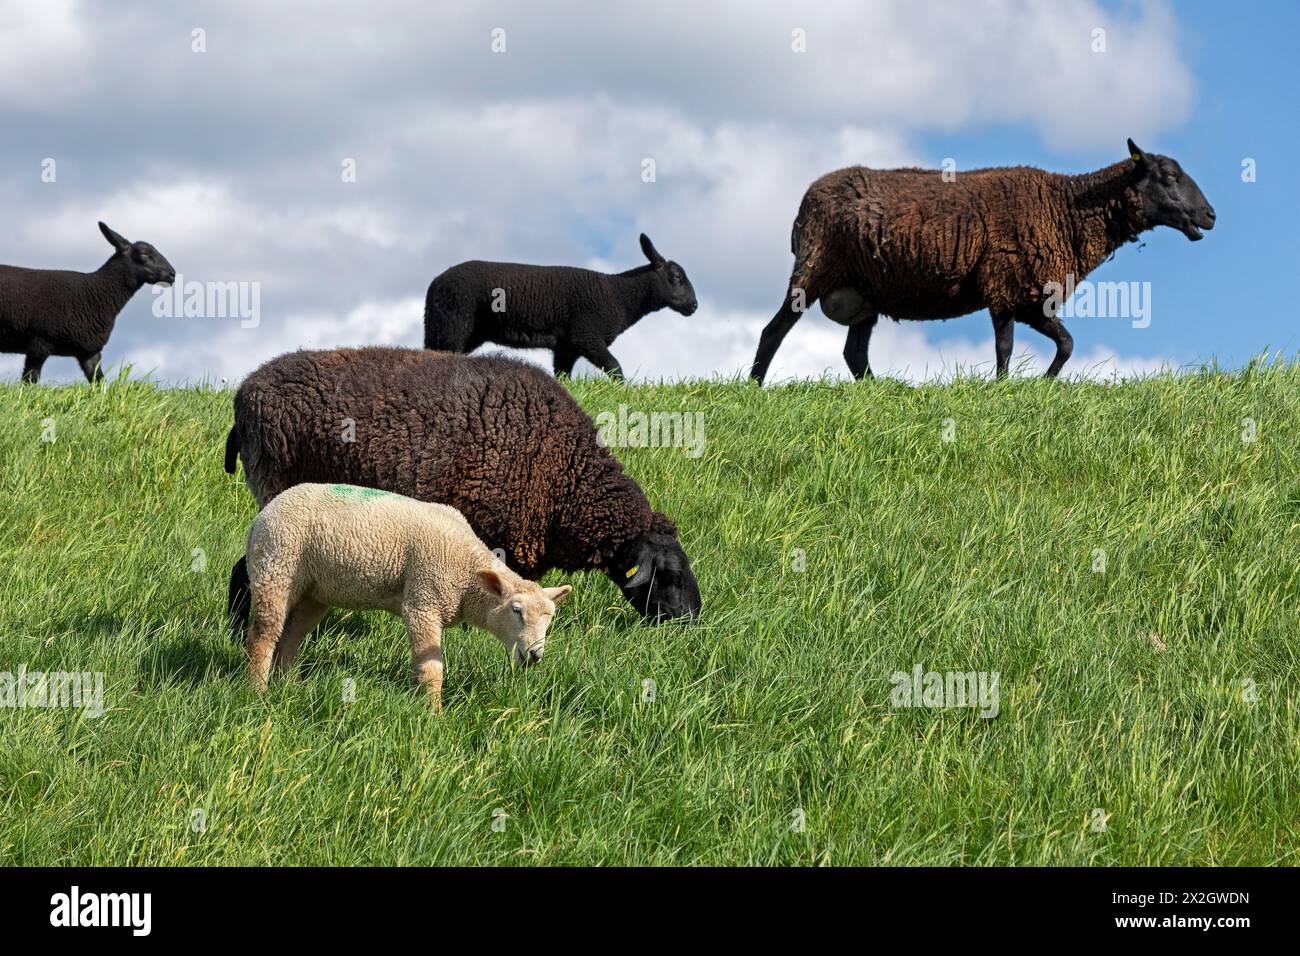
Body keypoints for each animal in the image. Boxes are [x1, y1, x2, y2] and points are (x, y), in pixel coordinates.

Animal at [0, 222, 175, 382]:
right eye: (144, 253)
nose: (172, 274)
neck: (94, 293)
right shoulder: (40, 341)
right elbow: (30, 380)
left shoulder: (89, 351)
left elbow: (100, 382)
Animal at [223, 348, 702, 632]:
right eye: (672, 574)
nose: (693, 621)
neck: (566, 483)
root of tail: (246, 393)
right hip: (283, 495)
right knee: (250, 570)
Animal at [244, 481, 569, 707]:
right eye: (516, 610)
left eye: (550, 618)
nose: (535, 654)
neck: (466, 570)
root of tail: (265, 512)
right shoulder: (422, 601)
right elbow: (432, 668)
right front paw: (434, 713)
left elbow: (422, 665)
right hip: (276, 565)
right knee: (263, 635)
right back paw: (258, 692)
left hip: (316, 590)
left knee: (291, 637)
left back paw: (289, 685)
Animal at [423, 234, 702, 379]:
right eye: (676, 277)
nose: (694, 305)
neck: (619, 295)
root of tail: (436, 282)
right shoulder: (586, 336)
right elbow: (615, 368)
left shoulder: (567, 346)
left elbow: (563, 375)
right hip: (453, 324)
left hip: (450, 328)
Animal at [754, 140, 1216, 382]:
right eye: (1169, 177)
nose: (1210, 215)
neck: (1066, 209)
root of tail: (805, 202)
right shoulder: (1005, 283)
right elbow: (1005, 348)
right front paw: (1003, 387)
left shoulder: (1029, 297)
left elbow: (1067, 343)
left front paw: (1046, 383)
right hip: (814, 265)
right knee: (773, 330)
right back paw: (755, 385)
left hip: (865, 294)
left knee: (854, 353)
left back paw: (880, 391)